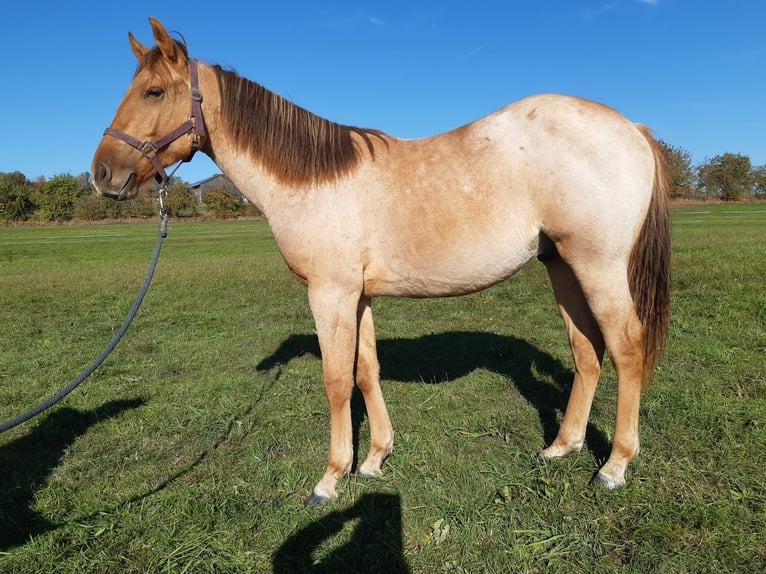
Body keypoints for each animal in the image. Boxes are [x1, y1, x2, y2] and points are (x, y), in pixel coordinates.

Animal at [92, 17, 670, 506]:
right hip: (562, 266)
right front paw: (374, 459)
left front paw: (330, 478)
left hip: (598, 267)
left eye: (153, 91)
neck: (312, 180)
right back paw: (561, 447)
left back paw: (614, 467)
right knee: (587, 352)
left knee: (626, 349)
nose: (102, 174)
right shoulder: (359, 295)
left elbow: (335, 380)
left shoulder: (330, 293)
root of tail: (631, 128)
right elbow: (366, 370)